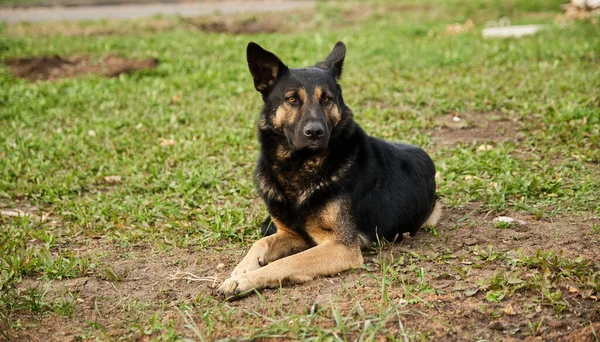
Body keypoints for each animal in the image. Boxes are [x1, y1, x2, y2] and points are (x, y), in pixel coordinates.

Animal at [217, 40, 440, 296]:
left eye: (326, 99)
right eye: (292, 99)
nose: (315, 132)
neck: (299, 165)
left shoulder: (342, 247)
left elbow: (287, 262)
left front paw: (246, 279)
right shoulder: (291, 233)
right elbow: (260, 242)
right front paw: (240, 270)